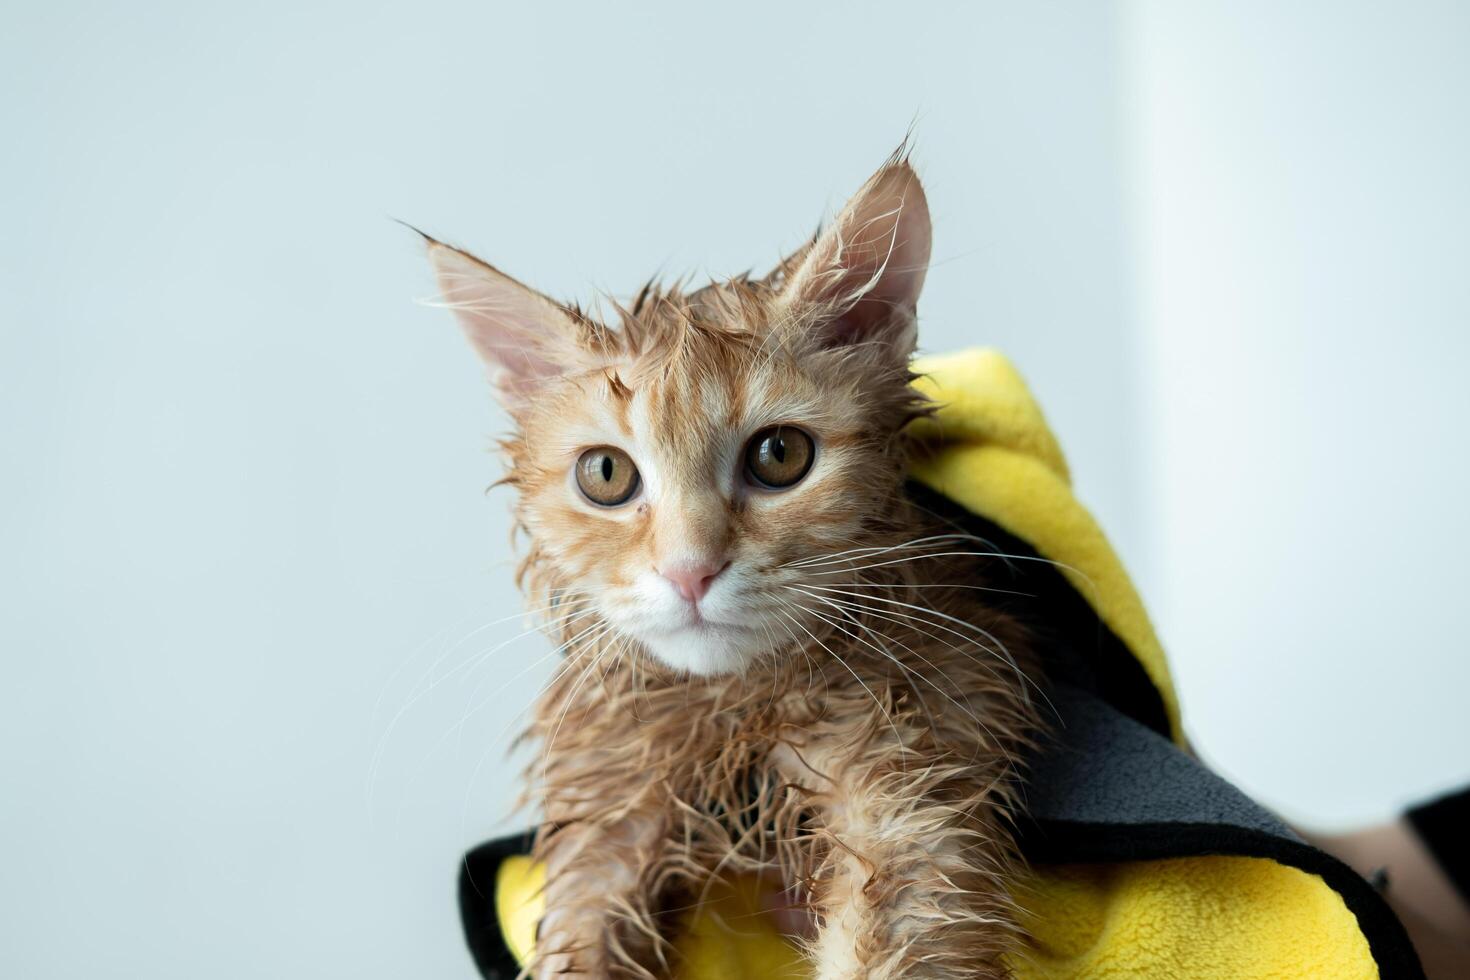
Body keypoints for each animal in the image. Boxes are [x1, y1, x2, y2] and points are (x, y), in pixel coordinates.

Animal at [426, 157, 1046, 975]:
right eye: (605, 474)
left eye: (780, 455)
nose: (690, 571)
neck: (738, 715)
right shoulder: (605, 812)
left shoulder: (925, 763)